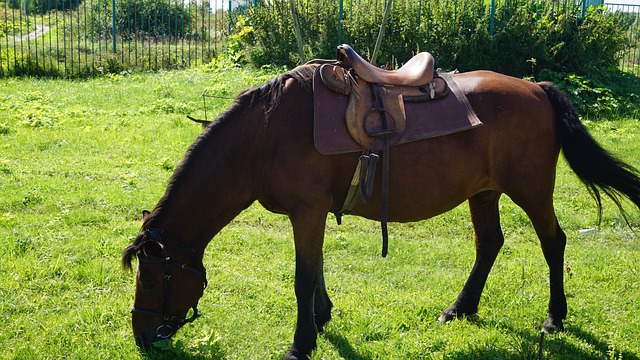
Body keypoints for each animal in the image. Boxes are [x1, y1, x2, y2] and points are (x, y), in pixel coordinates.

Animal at [121, 63, 640, 358]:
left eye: (154, 277)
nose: (142, 338)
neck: (264, 136)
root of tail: (536, 88)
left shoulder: (307, 210)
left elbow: (303, 276)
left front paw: (301, 343)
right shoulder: (310, 213)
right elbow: (317, 270)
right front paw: (322, 317)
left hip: (530, 191)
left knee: (554, 243)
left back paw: (554, 318)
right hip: (484, 193)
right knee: (490, 244)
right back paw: (460, 308)